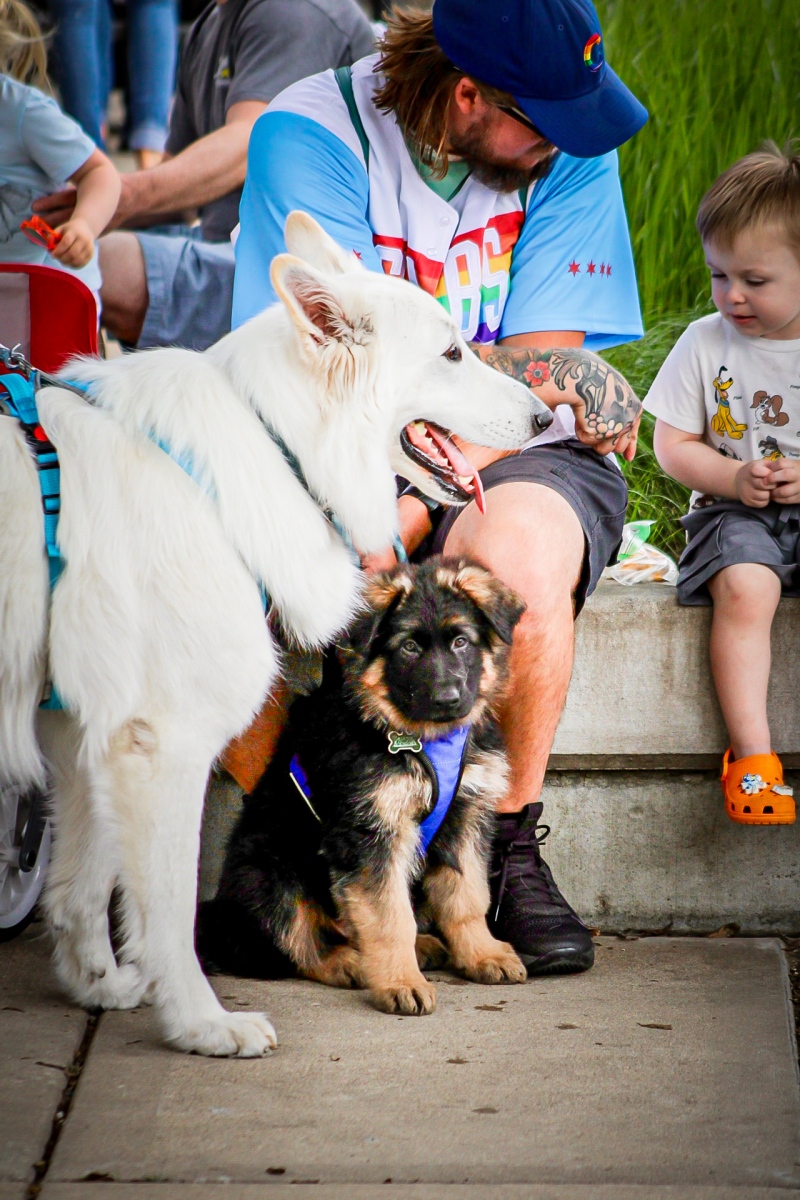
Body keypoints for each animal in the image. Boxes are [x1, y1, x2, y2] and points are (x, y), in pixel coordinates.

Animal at [198, 558, 528, 1016]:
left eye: (462, 641)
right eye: (409, 648)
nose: (447, 699)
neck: (422, 738)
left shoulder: (466, 817)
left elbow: (467, 896)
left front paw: (483, 954)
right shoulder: (370, 832)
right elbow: (388, 916)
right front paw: (401, 983)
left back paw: (421, 946)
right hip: (268, 870)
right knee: (299, 940)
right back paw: (350, 963)